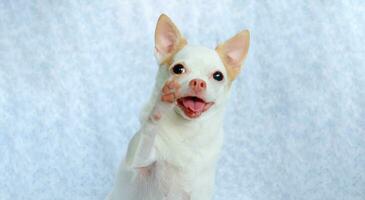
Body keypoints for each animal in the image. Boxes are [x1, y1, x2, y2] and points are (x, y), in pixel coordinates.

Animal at [106, 14, 249, 200]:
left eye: (218, 76)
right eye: (178, 69)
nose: (198, 82)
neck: (187, 131)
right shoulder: (138, 161)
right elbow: (149, 130)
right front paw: (162, 105)